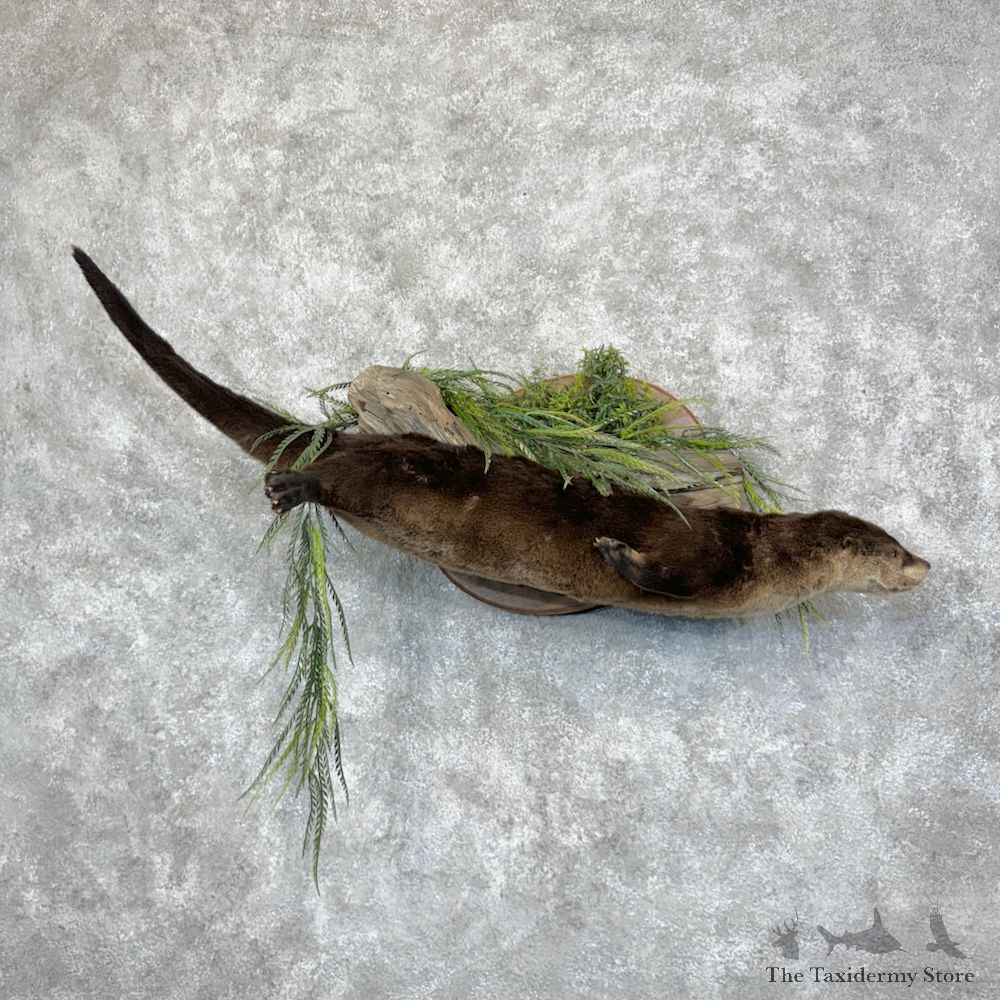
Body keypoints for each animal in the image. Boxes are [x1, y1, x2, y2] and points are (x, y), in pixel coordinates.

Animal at [72, 247, 930, 620]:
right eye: (891, 551)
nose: (925, 564)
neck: (765, 560)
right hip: (391, 473)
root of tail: (363, 441)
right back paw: (293, 484)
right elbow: (656, 572)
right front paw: (612, 552)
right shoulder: (707, 554)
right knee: (338, 479)